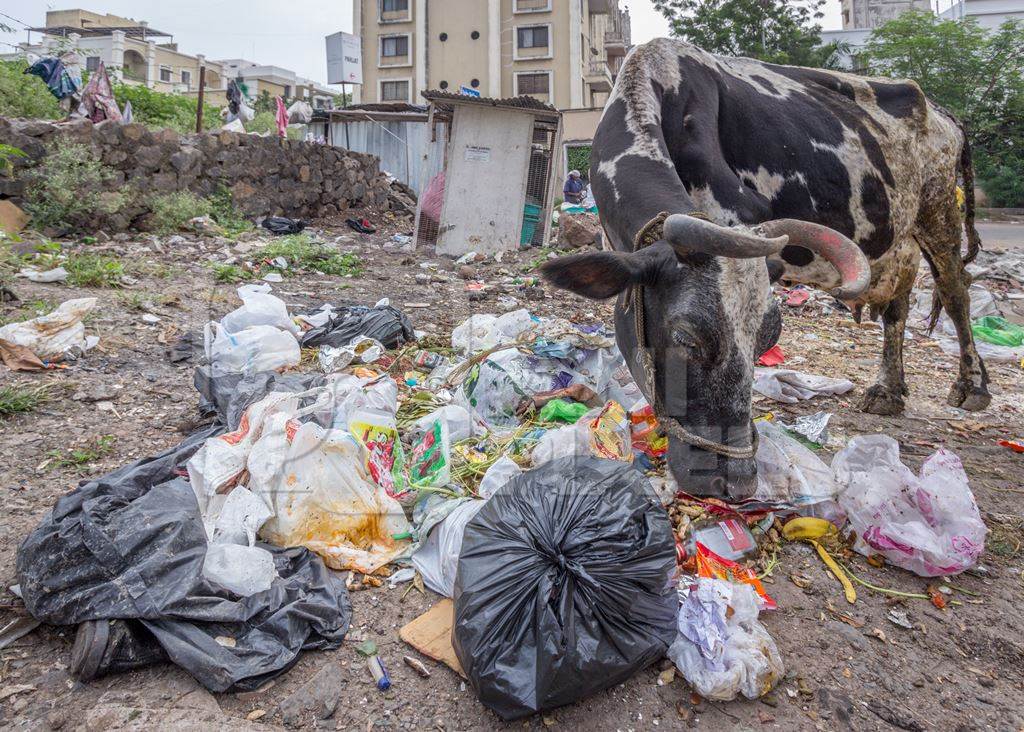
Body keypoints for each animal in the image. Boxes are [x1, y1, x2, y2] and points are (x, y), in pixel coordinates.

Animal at [540, 38, 987, 497]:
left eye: (767, 339)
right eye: (685, 338)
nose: (735, 482)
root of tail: (942, 111)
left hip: (937, 209)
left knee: (955, 289)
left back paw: (971, 385)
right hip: (901, 240)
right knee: (898, 305)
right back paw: (888, 391)